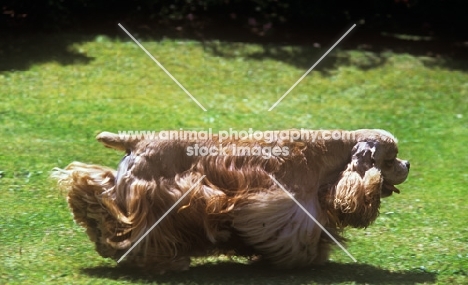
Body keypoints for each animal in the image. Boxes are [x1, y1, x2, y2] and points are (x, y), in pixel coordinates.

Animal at [52, 128, 410, 270]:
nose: (408, 165)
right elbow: (291, 235)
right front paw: (300, 258)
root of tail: (137, 140)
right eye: (391, 159)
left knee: (95, 194)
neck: (329, 153)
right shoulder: (282, 206)